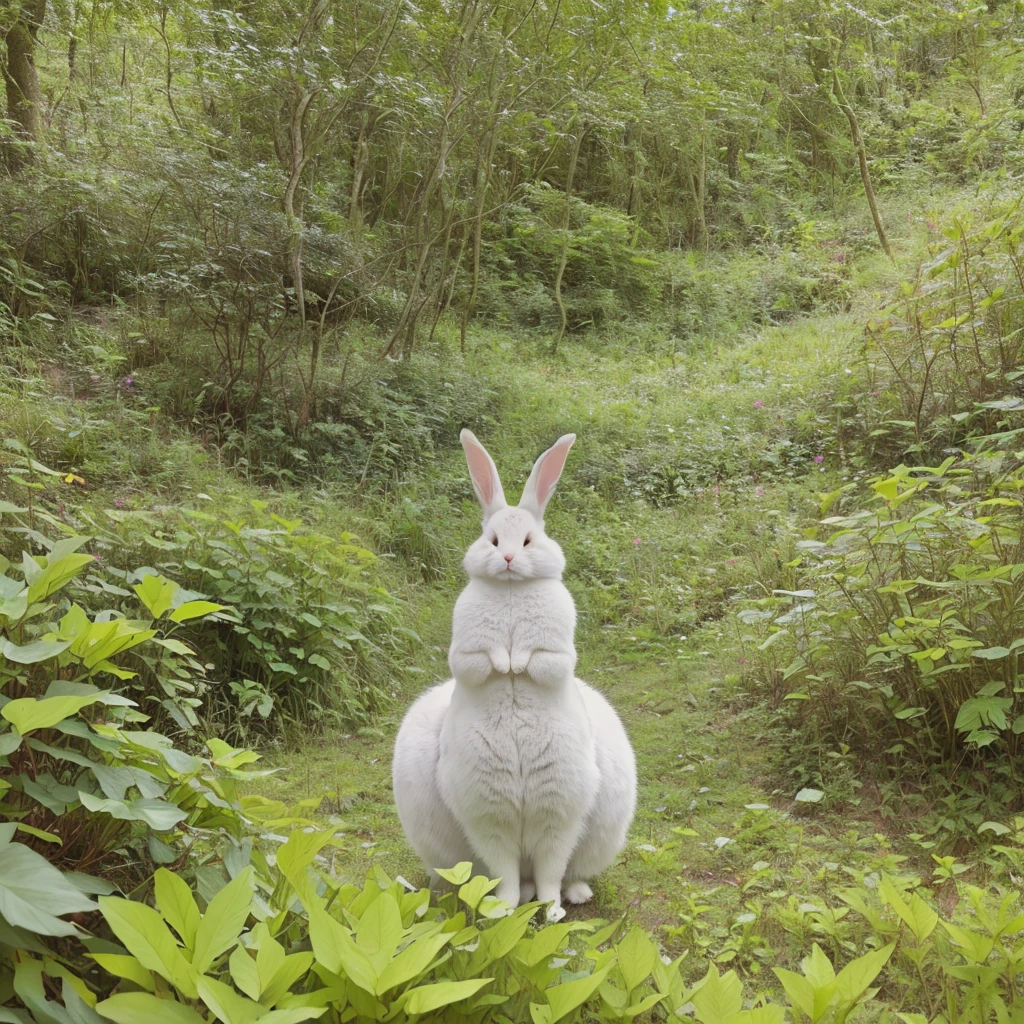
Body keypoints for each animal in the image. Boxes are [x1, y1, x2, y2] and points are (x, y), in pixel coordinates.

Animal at [395, 428, 634, 917]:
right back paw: (507, 903)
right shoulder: (466, 651)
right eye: (490, 539)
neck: (508, 591)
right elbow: (480, 662)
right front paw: (503, 912)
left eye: (526, 540)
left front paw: (553, 911)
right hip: (485, 819)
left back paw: (569, 898)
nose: (506, 559)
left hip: (566, 816)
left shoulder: (557, 650)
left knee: (556, 871)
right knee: (505, 873)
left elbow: (541, 661)